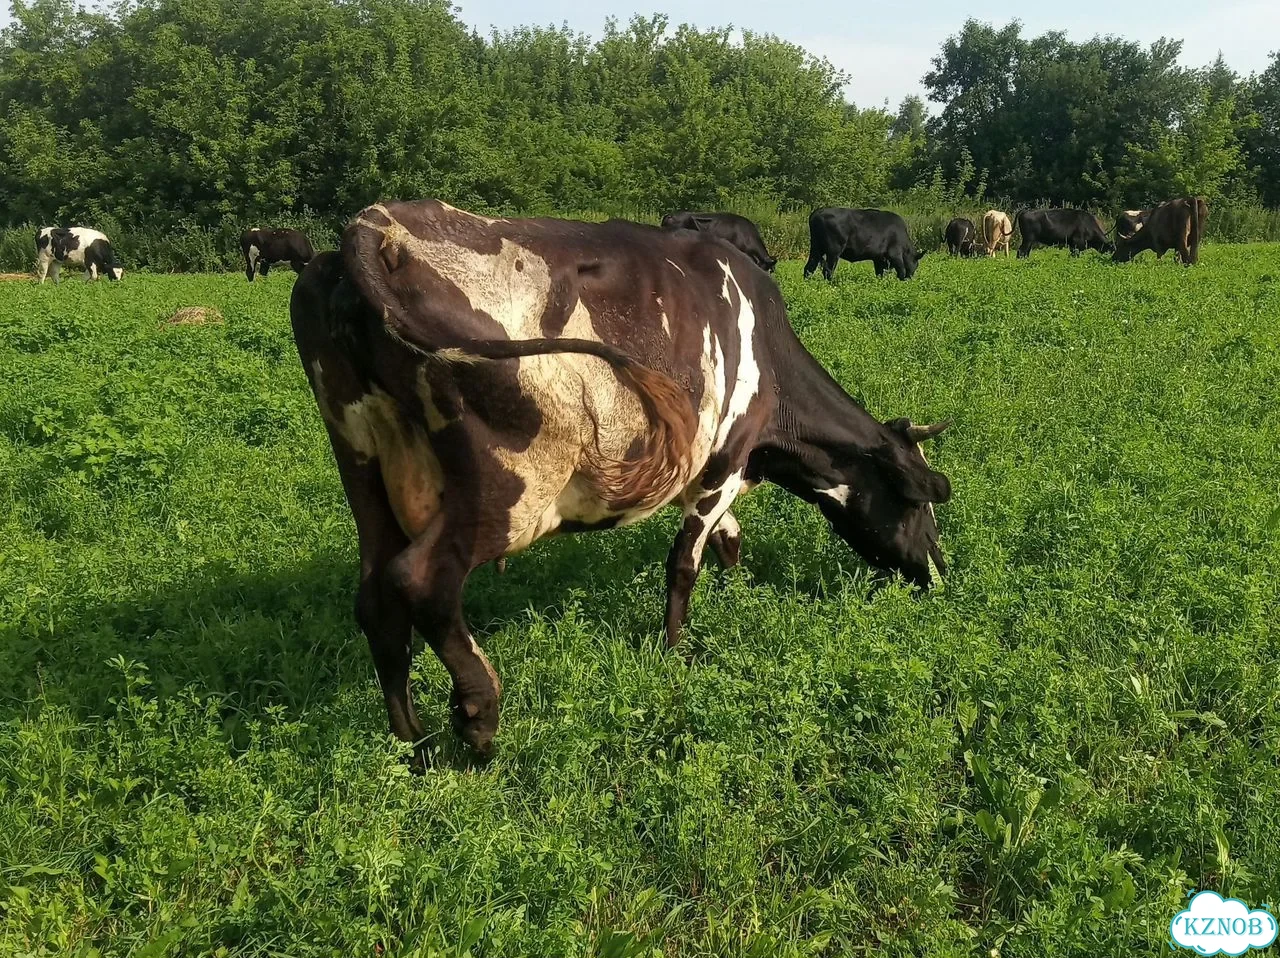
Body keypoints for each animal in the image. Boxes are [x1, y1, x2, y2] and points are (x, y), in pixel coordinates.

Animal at [290, 200, 953, 762]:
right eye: (920, 505)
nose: (939, 575)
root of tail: (377, 227)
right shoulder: (725, 455)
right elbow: (684, 561)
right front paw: (674, 652)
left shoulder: (712, 467)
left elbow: (728, 539)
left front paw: (736, 597)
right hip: (509, 490)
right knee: (420, 579)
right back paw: (480, 718)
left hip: (363, 463)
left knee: (375, 595)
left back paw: (413, 743)